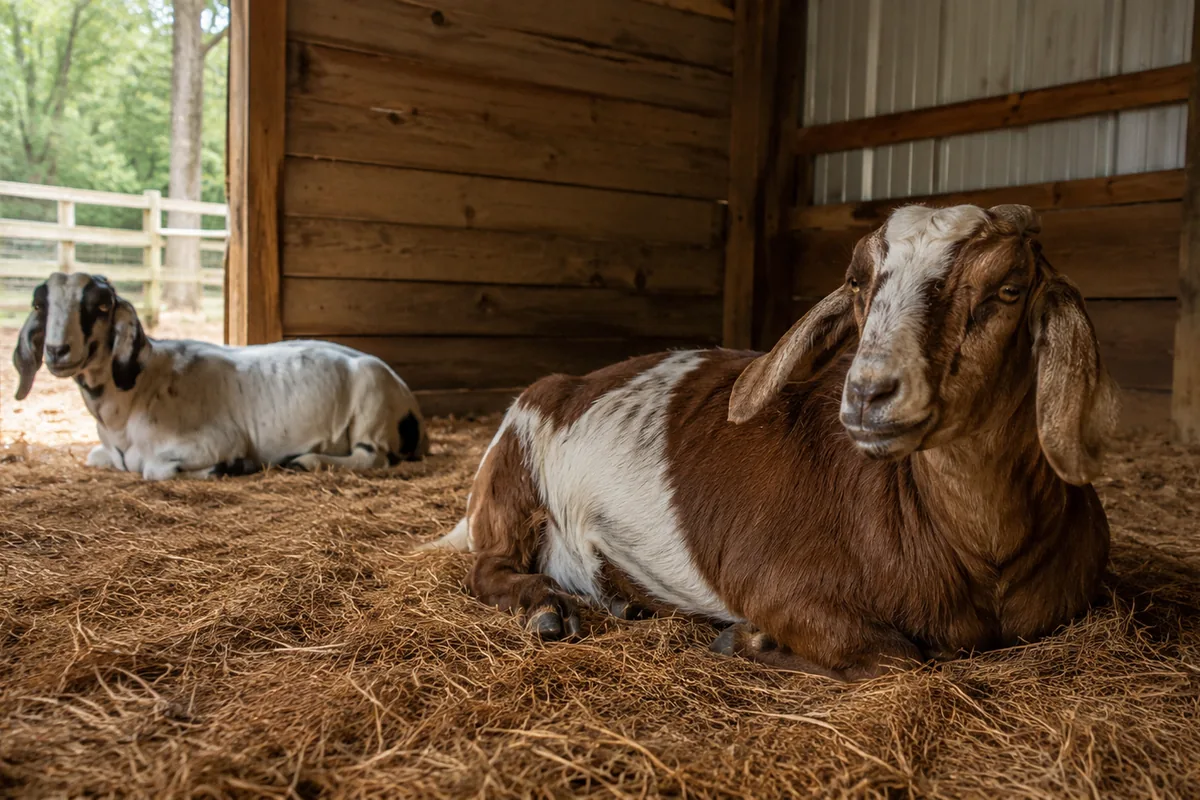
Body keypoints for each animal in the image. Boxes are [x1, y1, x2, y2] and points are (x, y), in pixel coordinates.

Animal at [12, 272, 428, 480]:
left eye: (101, 306)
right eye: (40, 305)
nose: (57, 351)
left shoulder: (218, 440)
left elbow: (153, 470)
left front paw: (233, 467)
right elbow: (96, 457)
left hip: (372, 408)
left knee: (371, 459)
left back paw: (303, 461)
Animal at [424, 203, 1119, 681]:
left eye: (1008, 288)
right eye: (859, 282)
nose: (869, 393)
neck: (982, 558)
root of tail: (569, 382)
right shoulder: (776, 585)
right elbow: (898, 656)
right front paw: (748, 640)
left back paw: (620, 603)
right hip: (513, 475)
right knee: (487, 568)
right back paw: (547, 607)